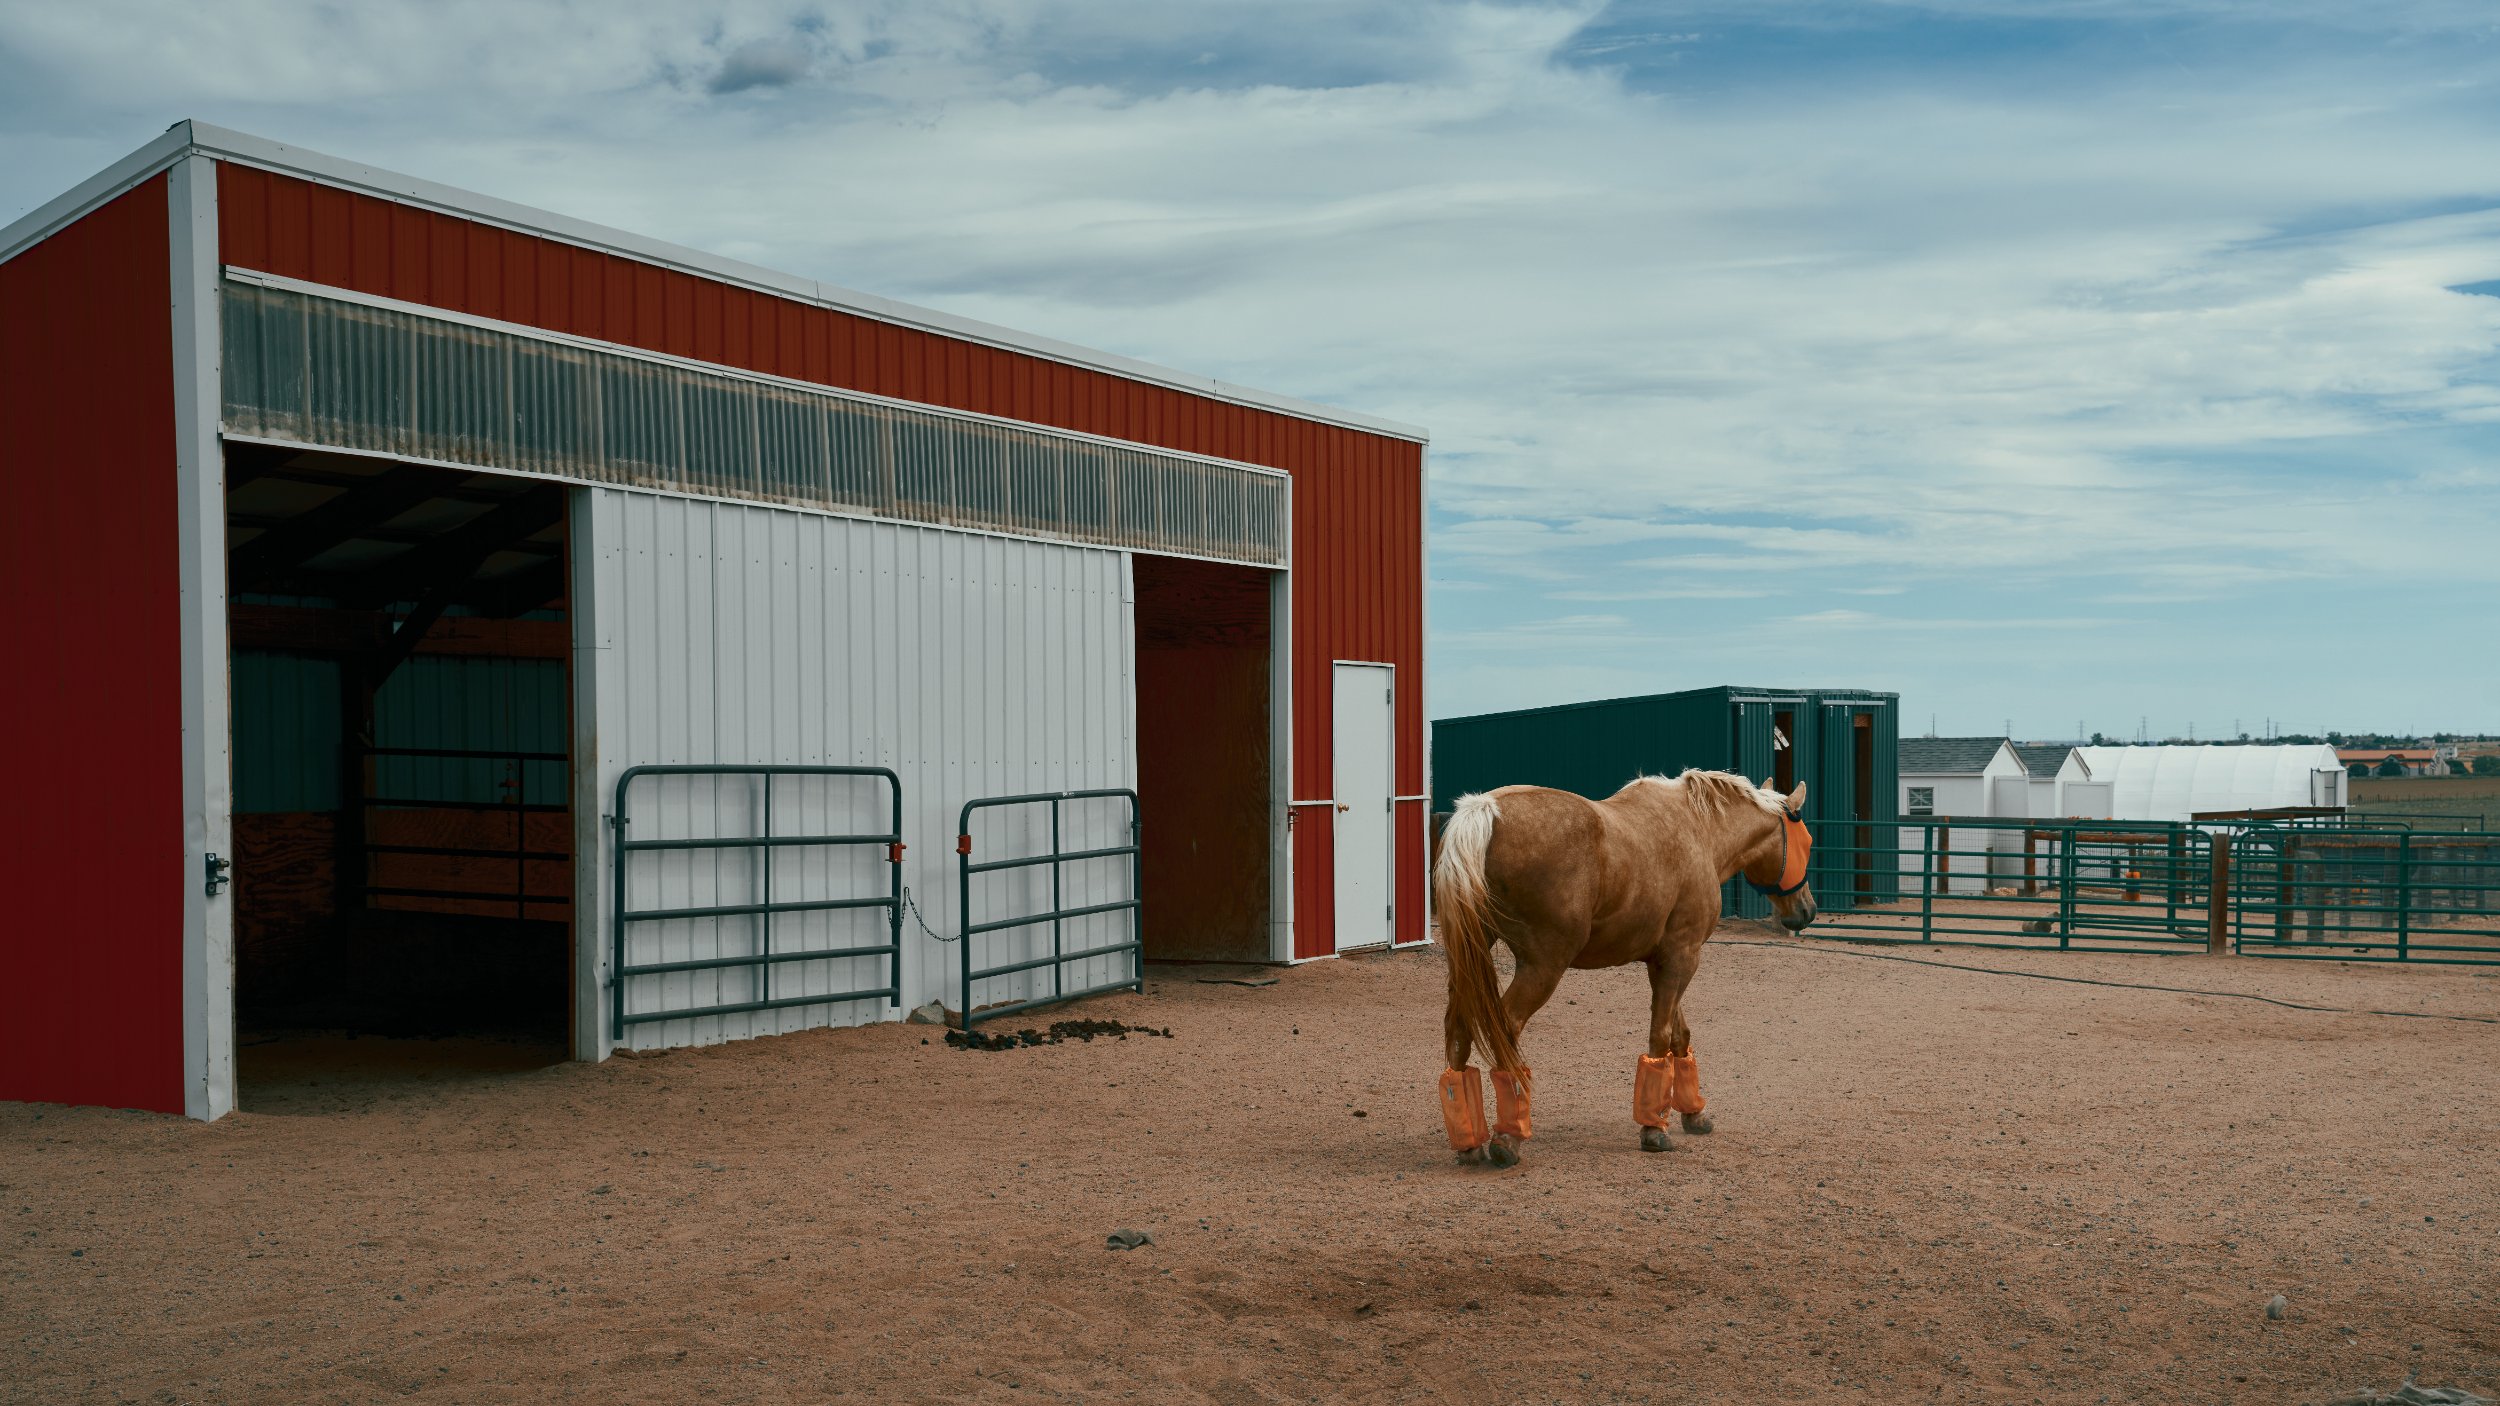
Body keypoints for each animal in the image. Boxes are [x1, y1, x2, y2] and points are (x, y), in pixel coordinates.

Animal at [1431, 770, 1818, 1167]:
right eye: (1807, 841)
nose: (1807, 911)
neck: (1699, 830)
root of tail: (1486, 810)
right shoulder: (1683, 957)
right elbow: (1661, 1036)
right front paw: (1653, 1129)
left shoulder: (1664, 961)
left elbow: (1679, 1036)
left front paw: (1694, 1114)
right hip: (1542, 967)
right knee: (1505, 1029)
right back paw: (1508, 1138)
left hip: (1468, 965)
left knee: (1459, 1030)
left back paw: (1469, 1143)